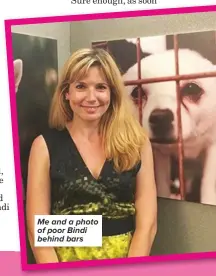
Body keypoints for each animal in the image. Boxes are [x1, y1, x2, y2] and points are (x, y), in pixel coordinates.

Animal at [123, 49, 216, 205]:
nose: (160, 117)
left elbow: (209, 185)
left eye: (192, 89)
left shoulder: (212, 148)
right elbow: (162, 185)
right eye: (137, 92)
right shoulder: (160, 155)